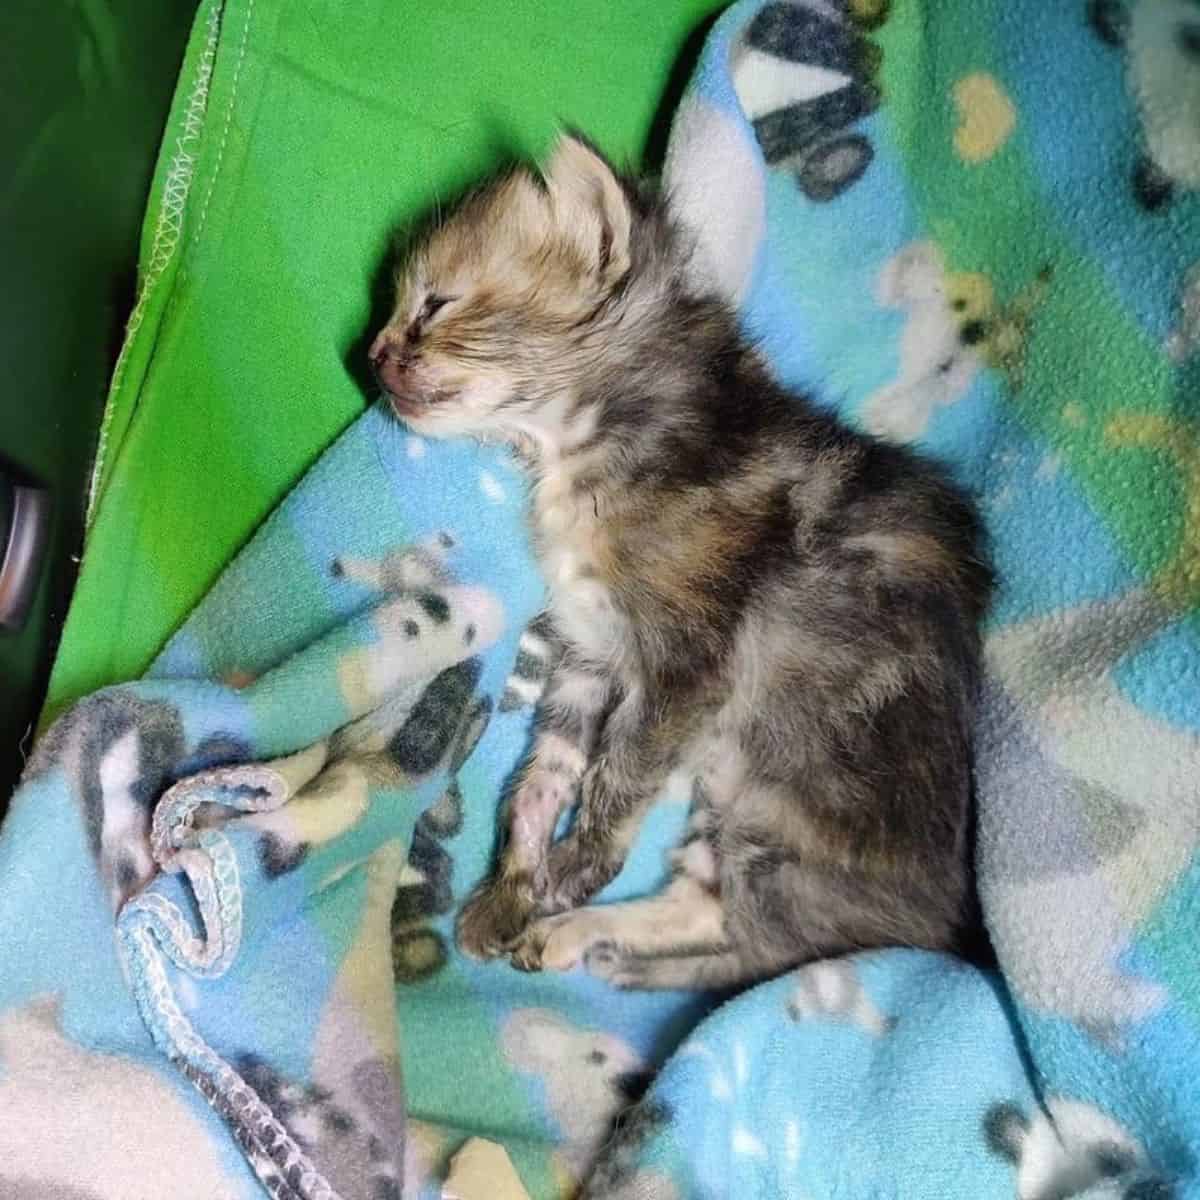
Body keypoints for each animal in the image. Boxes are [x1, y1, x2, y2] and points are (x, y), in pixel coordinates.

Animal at [367, 136, 993, 988]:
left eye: (434, 305)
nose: (372, 356)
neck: (592, 439)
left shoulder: (689, 665)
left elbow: (618, 774)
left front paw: (567, 873)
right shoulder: (589, 648)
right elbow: (544, 771)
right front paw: (514, 889)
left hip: (780, 809)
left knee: (743, 923)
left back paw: (579, 932)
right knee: (707, 906)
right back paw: (575, 940)